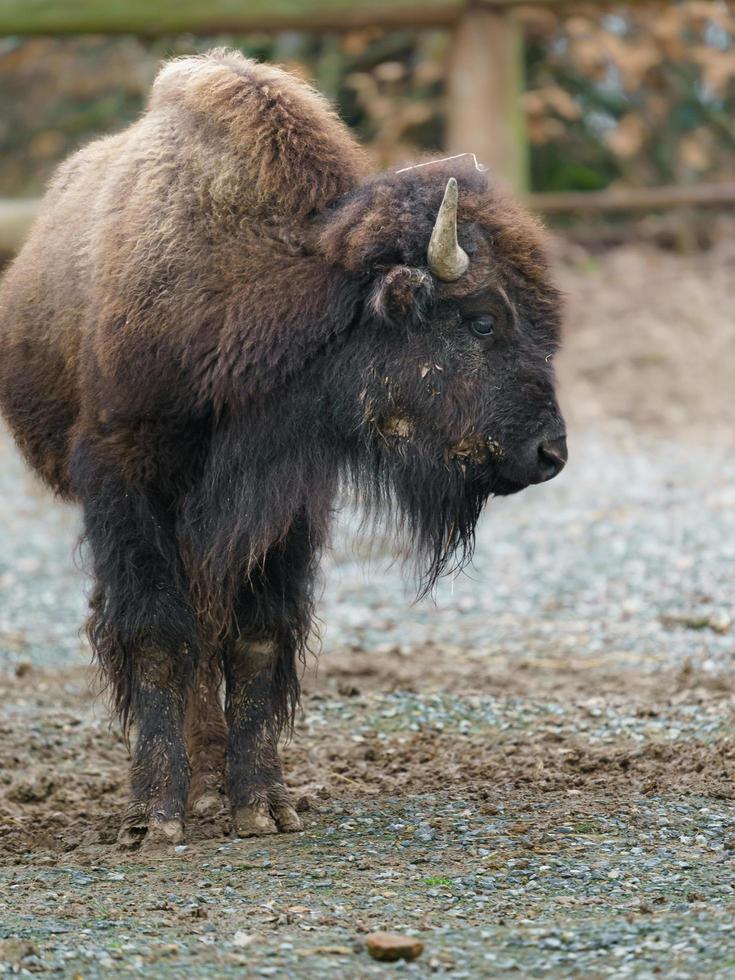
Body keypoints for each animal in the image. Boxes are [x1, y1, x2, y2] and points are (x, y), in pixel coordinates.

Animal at [0, 49, 568, 848]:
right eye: (483, 319)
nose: (550, 452)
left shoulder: (288, 502)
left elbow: (257, 640)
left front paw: (263, 805)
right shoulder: (125, 482)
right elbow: (156, 636)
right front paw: (155, 818)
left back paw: (211, 784)